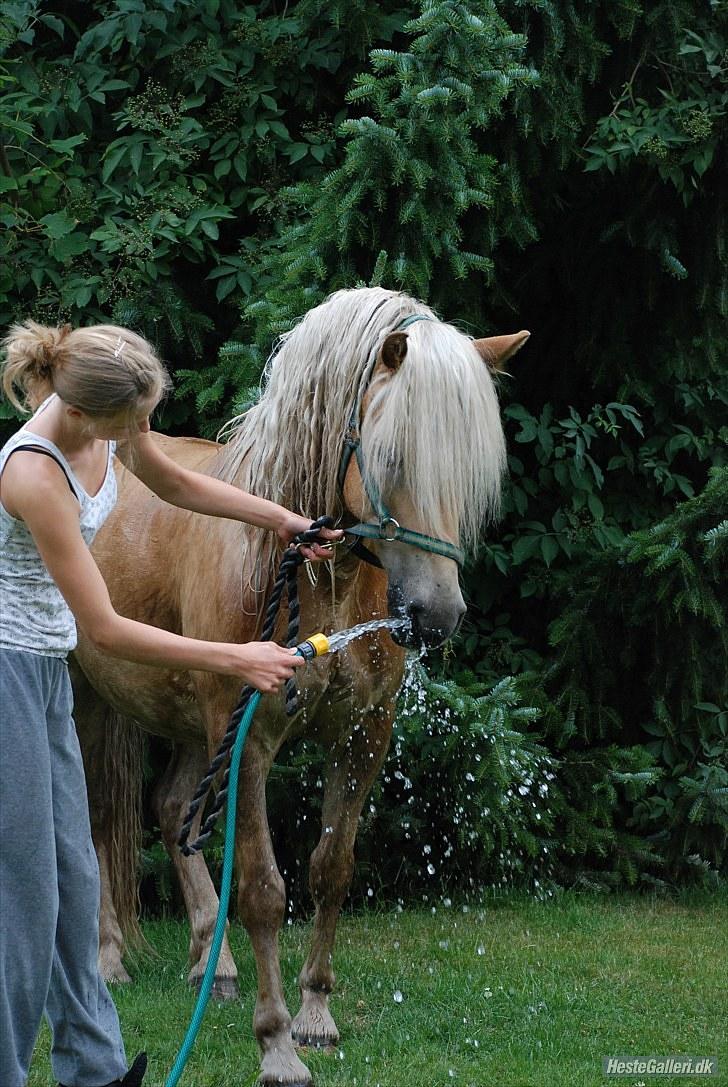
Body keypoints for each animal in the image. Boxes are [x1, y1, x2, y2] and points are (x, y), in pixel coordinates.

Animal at [72, 289, 530, 1087]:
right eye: (393, 457)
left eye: (472, 473)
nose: (437, 615)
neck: (319, 580)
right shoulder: (251, 742)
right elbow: (262, 890)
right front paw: (277, 1043)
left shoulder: (361, 737)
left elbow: (330, 870)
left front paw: (316, 1014)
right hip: (89, 699)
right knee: (103, 818)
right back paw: (109, 960)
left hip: (194, 722)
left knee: (171, 808)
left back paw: (213, 961)